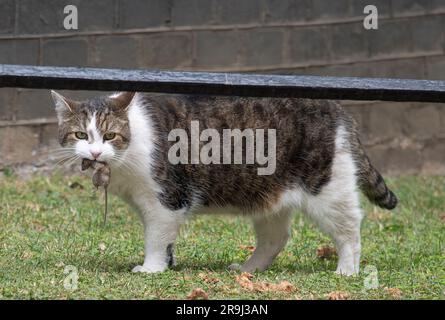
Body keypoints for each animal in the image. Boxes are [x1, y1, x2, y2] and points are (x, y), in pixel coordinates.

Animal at [51, 90, 396, 276]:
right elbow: (164, 239)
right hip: (269, 197)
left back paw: (347, 269)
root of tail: (336, 109)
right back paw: (248, 270)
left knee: (350, 230)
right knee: (276, 238)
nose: (95, 152)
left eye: (110, 134)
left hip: (328, 190)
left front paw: (151, 268)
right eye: (80, 135)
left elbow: (156, 239)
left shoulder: (166, 200)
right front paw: (167, 263)